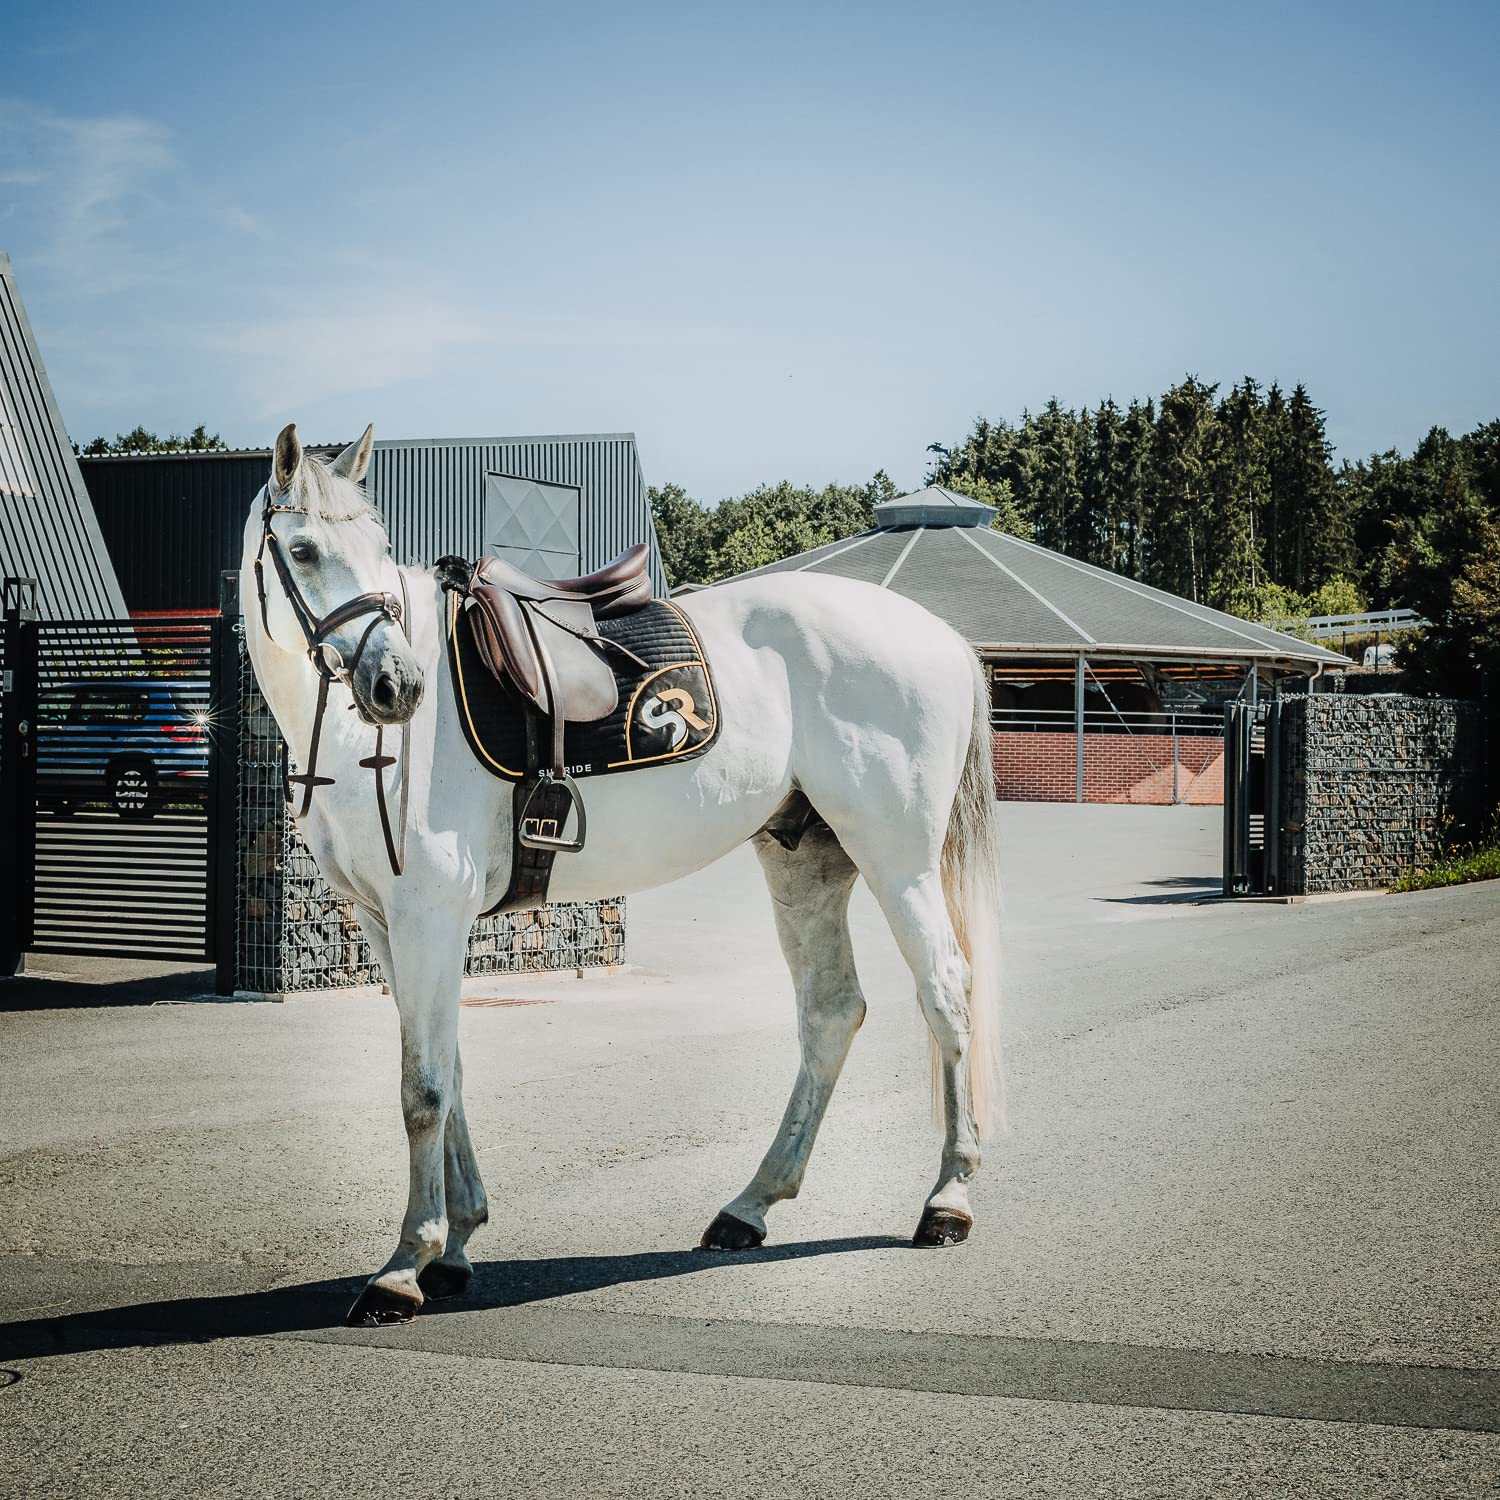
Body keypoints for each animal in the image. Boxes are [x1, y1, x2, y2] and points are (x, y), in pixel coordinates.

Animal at [242, 422, 1003, 1326]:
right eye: (303, 549)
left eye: (379, 548)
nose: (398, 685)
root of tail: (940, 635)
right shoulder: (387, 924)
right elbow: (448, 1071)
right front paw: (456, 1246)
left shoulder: (430, 914)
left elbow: (422, 1088)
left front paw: (403, 1266)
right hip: (806, 860)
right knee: (830, 1013)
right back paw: (750, 1206)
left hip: (897, 857)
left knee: (947, 993)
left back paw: (947, 1201)